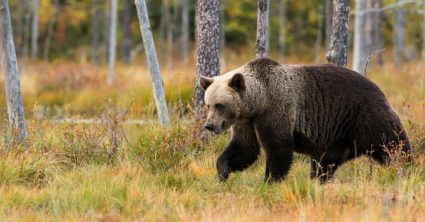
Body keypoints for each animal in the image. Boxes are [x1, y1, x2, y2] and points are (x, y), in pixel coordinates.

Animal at [200, 56, 410, 182]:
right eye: (208, 104)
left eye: (220, 105)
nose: (209, 125)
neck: (258, 102)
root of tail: (379, 89)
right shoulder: (247, 122)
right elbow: (245, 148)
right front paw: (222, 172)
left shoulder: (276, 110)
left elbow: (278, 149)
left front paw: (270, 180)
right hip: (336, 137)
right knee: (324, 163)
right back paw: (319, 180)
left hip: (364, 117)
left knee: (392, 144)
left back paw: (405, 167)